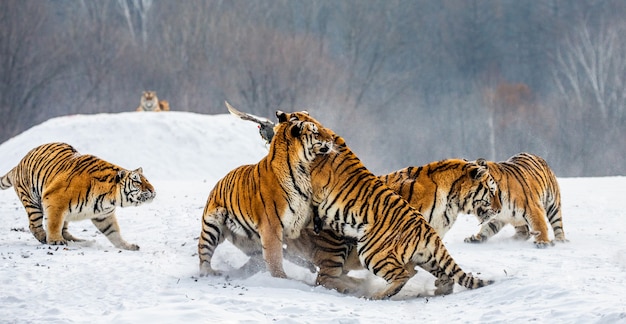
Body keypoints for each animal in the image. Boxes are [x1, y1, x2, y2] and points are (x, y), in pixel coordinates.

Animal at [0, 140, 155, 249]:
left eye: (147, 180)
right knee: (34, 225)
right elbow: (54, 223)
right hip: (32, 202)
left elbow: (114, 232)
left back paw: (78, 240)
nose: (153, 191)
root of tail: (18, 164)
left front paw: (127, 246)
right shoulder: (55, 201)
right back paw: (45, 238)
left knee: (64, 229)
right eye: (137, 182)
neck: (111, 198)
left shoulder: (103, 215)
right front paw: (55, 241)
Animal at [197, 103, 334, 278]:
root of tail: (219, 182)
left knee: (257, 259)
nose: (331, 139)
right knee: (204, 253)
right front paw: (281, 278)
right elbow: (274, 255)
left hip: (249, 240)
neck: (304, 169)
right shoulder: (272, 225)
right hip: (212, 225)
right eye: (316, 132)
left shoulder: (302, 216)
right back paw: (210, 272)